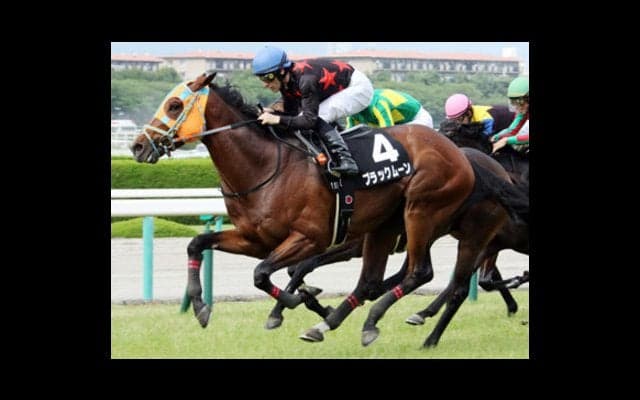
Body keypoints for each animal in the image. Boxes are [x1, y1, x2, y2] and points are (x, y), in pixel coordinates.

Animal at [131, 72, 526, 348]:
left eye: (174, 106)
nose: (137, 146)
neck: (267, 165)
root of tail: (464, 157)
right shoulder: (254, 238)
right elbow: (198, 244)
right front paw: (201, 307)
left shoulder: (312, 238)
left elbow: (266, 273)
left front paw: (294, 301)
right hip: (392, 226)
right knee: (381, 280)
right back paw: (335, 323)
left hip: (425, 213)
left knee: (425, 274)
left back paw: (393, 324)